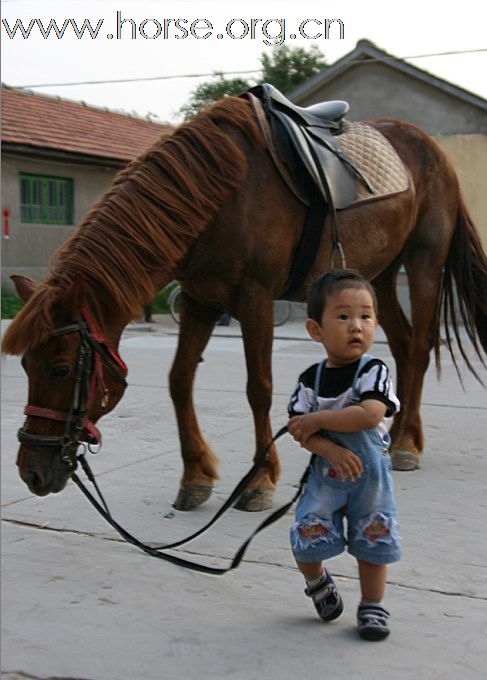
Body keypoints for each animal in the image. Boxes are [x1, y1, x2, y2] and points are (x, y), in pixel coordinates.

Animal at [0, 95, 487, 510]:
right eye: (24, 366)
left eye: (61, 368)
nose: (31, 473)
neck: (218, 197)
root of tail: (429, 146)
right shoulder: (199, 299)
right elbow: (179, 381)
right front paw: (196, 476)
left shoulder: (255, 297)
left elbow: (259, 387)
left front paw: (258, 481)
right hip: (378, 277)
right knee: (403, 346)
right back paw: (400, 436)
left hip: (423, 261)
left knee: (420, 346)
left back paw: (404, 444)